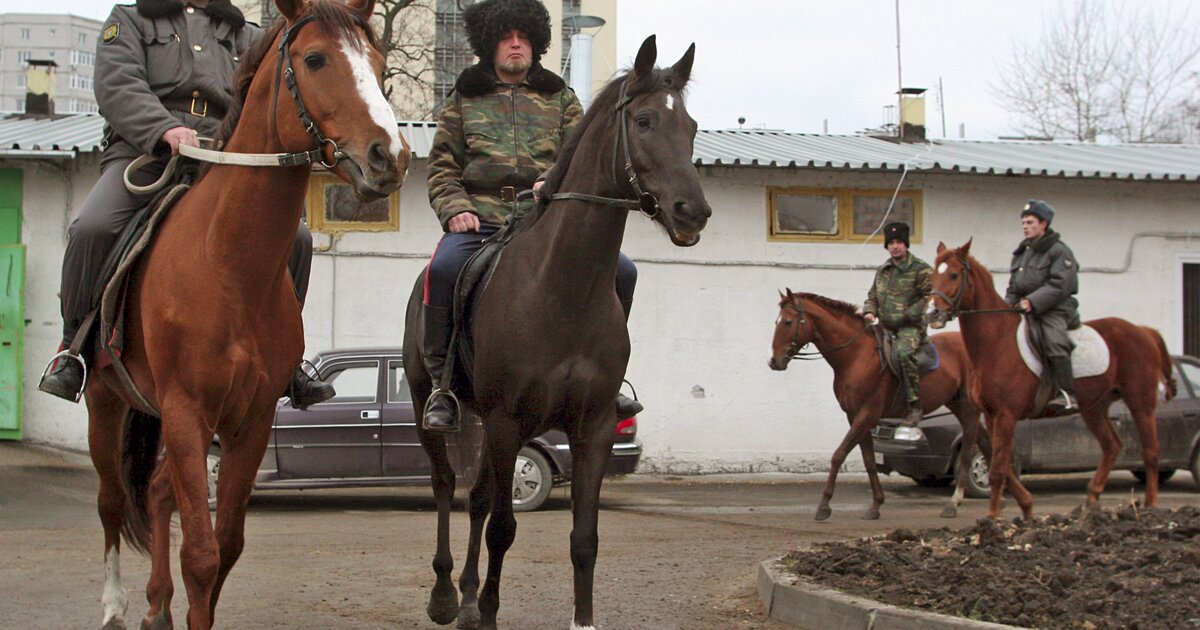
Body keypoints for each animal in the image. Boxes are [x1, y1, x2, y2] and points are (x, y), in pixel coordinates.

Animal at [84, 2, 410, 624]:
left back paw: (156, 605)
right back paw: (112, 604)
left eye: (380, 65)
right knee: (111, 499)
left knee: (155, 492)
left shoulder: (251, 421)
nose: (391, 156)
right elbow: (201, 555)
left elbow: (226, 548)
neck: (229, 266)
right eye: (315, 58)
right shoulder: (188, 413)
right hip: (105, 400)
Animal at [403, 35, 705, 628]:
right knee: (447, 486)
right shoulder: (506, 423)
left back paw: (467, 596)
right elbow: (503, 528)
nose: (694, 211)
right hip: (436, 407)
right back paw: (446, 595)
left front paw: (577, 617)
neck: (563, 289)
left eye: (692, 126)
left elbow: (583, 539)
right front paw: (487, 611)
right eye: (643, 121)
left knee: (476, 497)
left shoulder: (593, 427)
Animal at [768, 286, 1022, 518]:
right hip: (957, 404)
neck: (856, 356)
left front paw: (824, 505)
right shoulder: (856, 416)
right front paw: (876, 504)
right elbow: (869, 460)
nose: (774, 361)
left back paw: (954, 502)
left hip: (968, 408)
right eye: (777, 321)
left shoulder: (867, 414)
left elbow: (838, 455)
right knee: (986, 443)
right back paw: (1002, 496)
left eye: (788, 322)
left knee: (969, 448)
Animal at [926, 238, 1171, 518]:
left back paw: (1151, 507)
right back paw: (1090, 501)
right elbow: (1001, 462)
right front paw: (1026, 506)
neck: (997, 342)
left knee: (1151, 452)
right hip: (1095, 407)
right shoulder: (991, 415)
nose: (932, 313)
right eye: (933, 275)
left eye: (954, 274)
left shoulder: (1007, 414)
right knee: (1112, 446)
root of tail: (1143, 331)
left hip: (1140, 402)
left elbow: (998, 467)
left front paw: (993, 517)